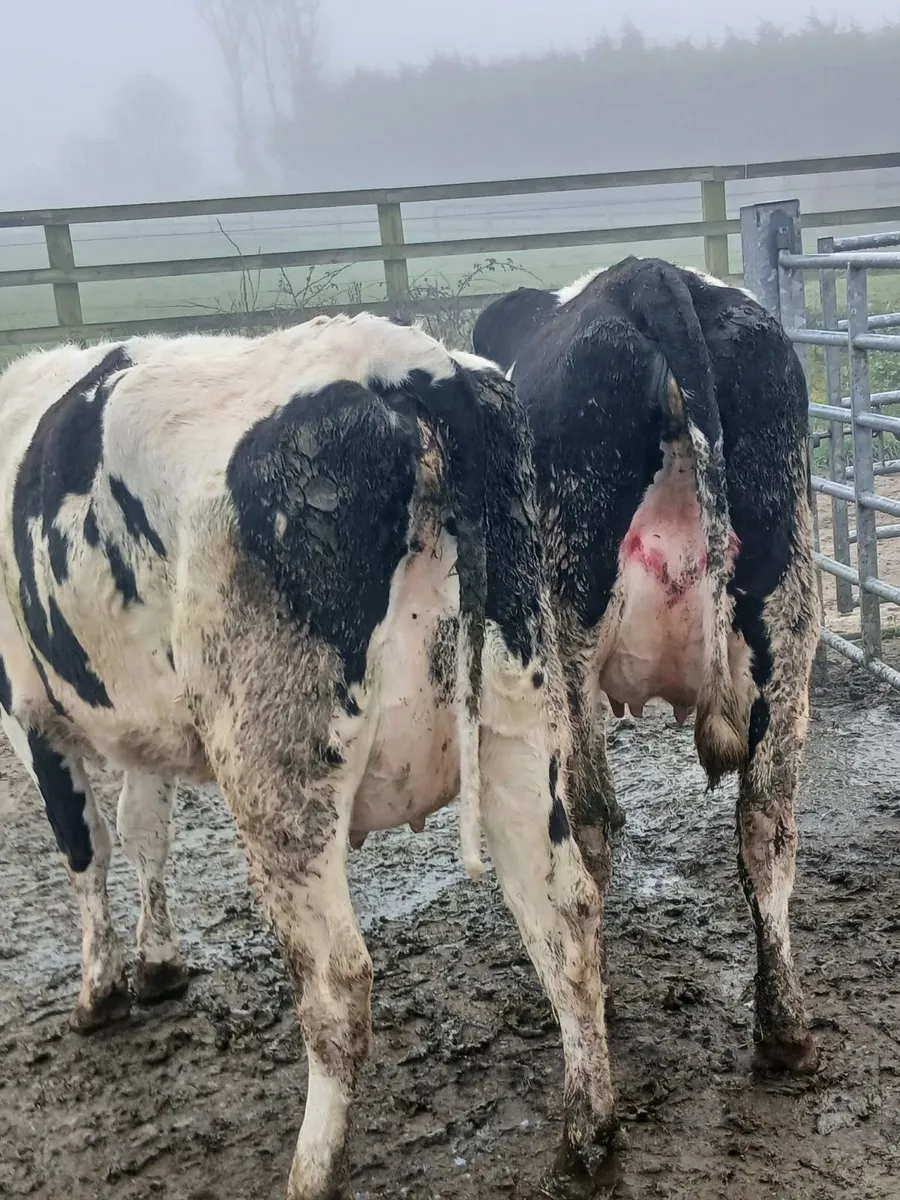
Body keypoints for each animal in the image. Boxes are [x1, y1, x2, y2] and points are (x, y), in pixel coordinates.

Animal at [0, 314, 619, 1198]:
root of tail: (409, 366)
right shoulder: (138, 729)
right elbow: (146, 829)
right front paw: (158, 963)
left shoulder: (27, 713)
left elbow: (87, 849)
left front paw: (99, 991)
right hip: (517, 716)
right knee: (563, 910)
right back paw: (586, 1134)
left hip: (275, 766)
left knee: (338, 982)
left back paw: (311, 1171)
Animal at [473, 257, 821, 1084]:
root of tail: (654, 278)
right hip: (790, 611)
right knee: (768, 821)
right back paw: (784, 1030)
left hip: (563, 636)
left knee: (590, 825)